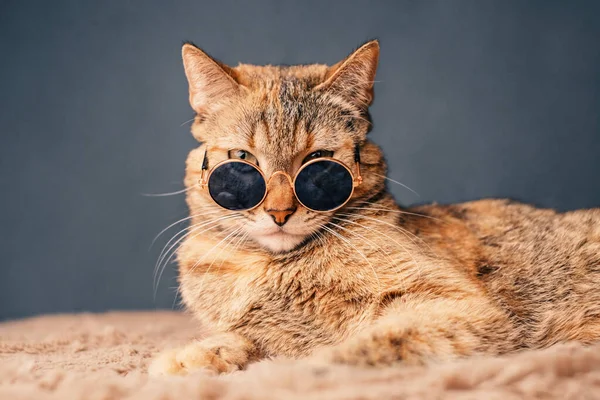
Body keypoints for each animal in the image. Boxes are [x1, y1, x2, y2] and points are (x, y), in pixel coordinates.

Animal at [149, 40, 600, 376]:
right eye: (242, 160)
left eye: (319, 163)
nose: (279, 213)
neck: (271, 268)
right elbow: (243, 339)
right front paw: (193, 357)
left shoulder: (456, 304)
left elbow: (370, 344)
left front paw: (307, 369)